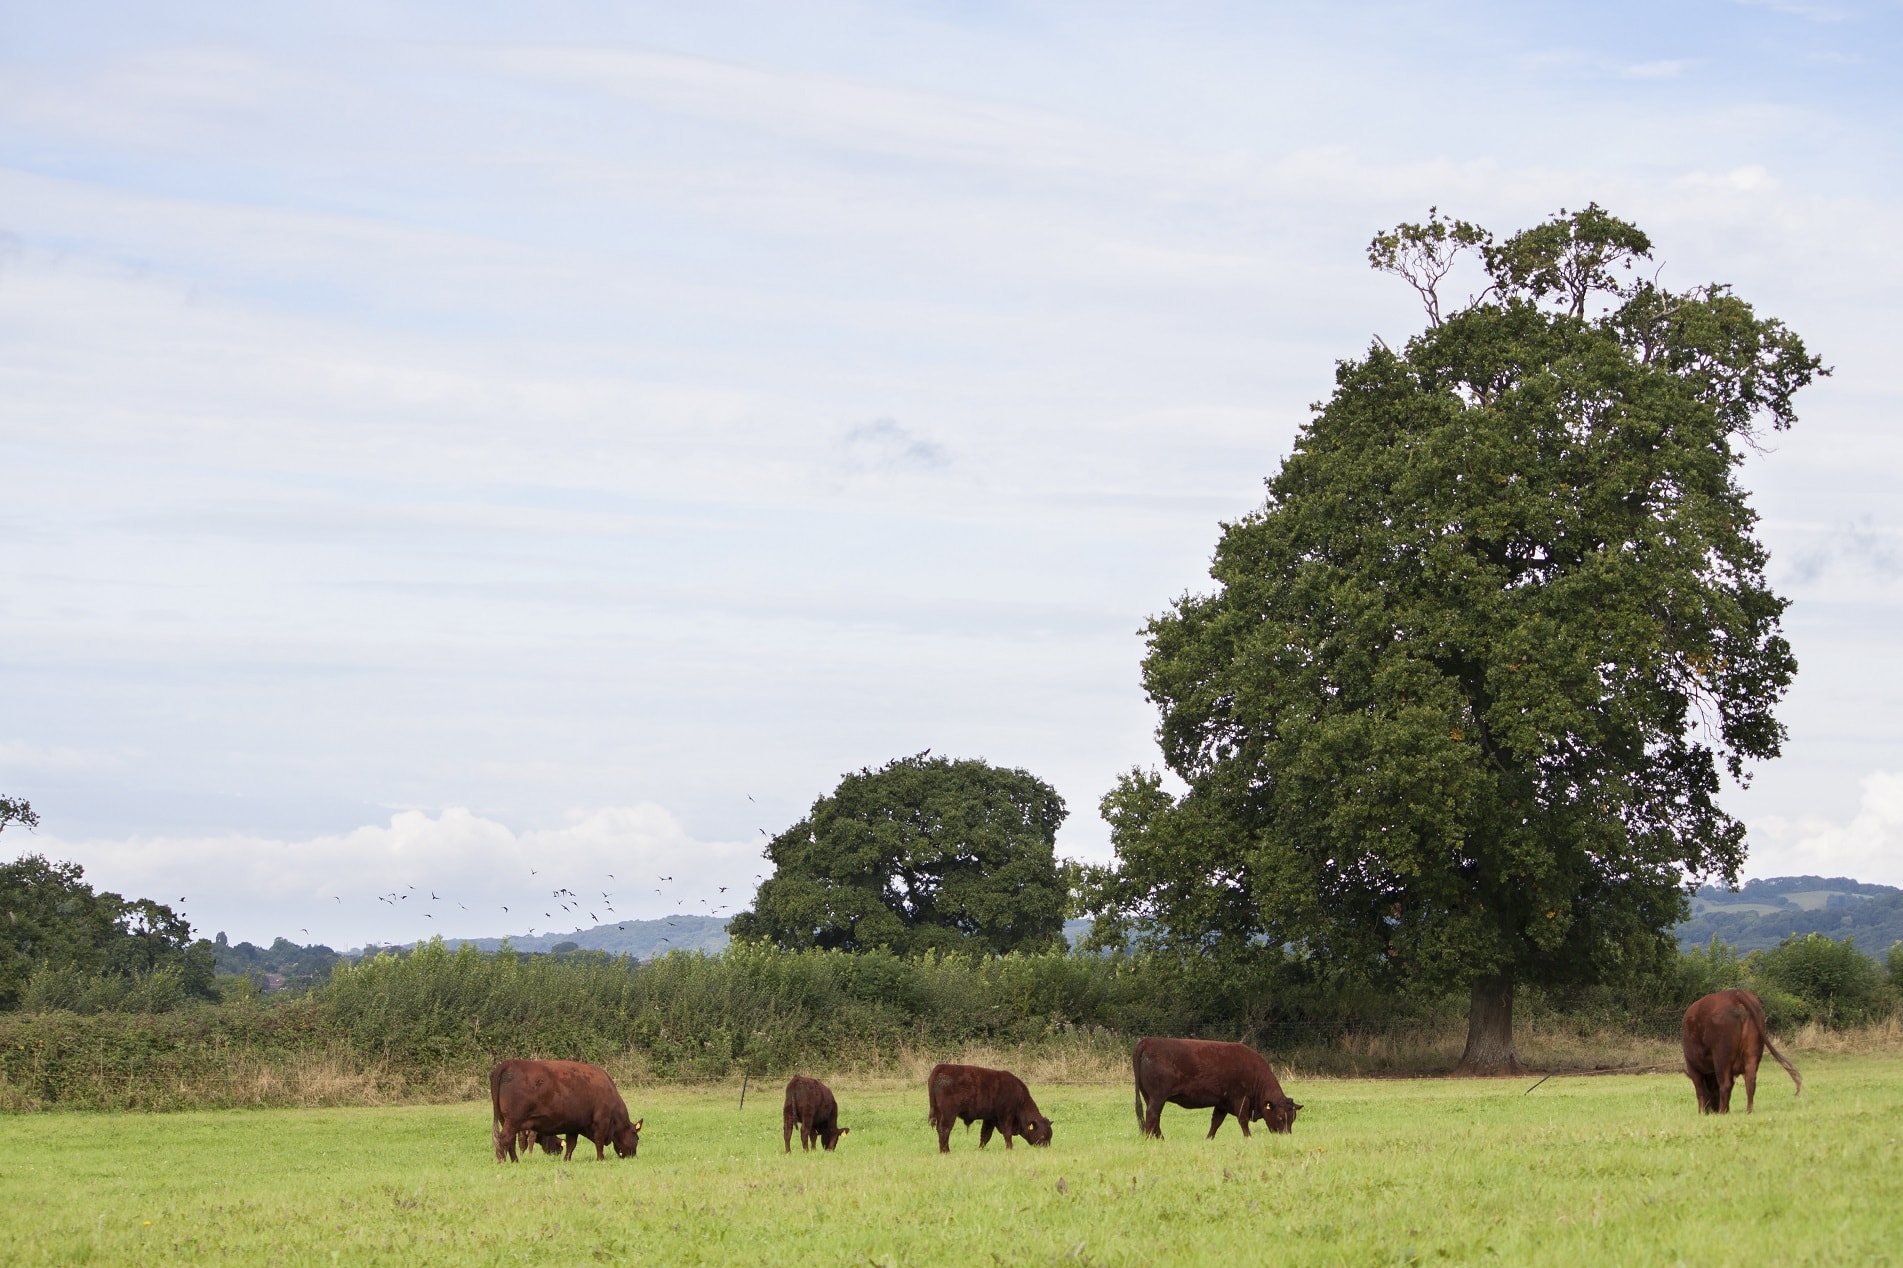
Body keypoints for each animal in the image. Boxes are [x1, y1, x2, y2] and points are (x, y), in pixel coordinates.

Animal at [490, 1059, 643, 1161]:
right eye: (637, 1137)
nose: (633, 1155)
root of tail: (509, 1063)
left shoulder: (573, 1126)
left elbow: (571, 1144)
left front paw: (566, 1159)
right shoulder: (601, 1122)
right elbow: (599, 1142)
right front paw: (601, 1159)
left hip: (507, 1121)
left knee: (510, 1141)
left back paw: (515, 1160)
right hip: (513, 1121)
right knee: (504, 1139)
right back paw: (503, 1160)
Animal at [1131, 1037, 1302, 1140]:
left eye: (1293, 1118)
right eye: (1280, 1117)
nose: (1287, 1136)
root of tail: (1148, 1041)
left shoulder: (1222, 1103)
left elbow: (1216, 1122)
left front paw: (1208, 1139)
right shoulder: (1240, 1098)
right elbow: (1243, 1120)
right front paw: (1249, 1138)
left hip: (1150, 1096)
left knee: (1155, 1118)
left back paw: (1161, 1139)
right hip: (1158, 1097)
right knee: (1152, 1115)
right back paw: (1150, 1138)